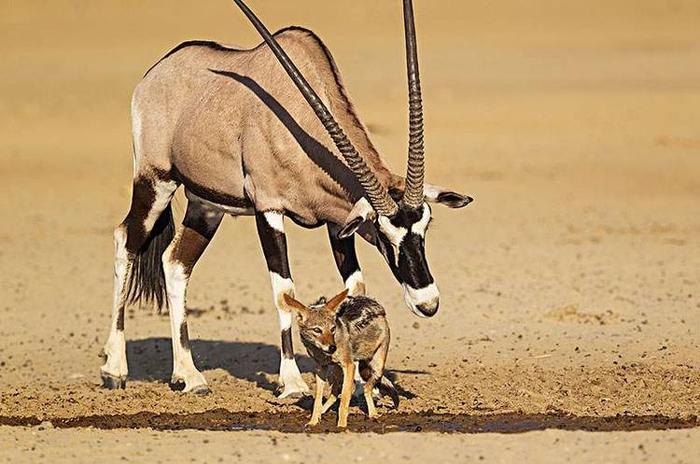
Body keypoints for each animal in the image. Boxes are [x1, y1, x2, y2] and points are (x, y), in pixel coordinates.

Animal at [100, 0, 470, 398]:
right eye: (384, 235)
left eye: (426, 225)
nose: (427, 303)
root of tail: (155, 73)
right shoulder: (269, 210)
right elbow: (284, 291)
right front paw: (292, 383)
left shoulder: (337, 223)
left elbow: (354, 288)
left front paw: (364, 380)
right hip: (156, 182)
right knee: (126, 240)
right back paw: (115, 369)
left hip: (206, 206)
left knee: (175, 263)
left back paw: (189, 375)